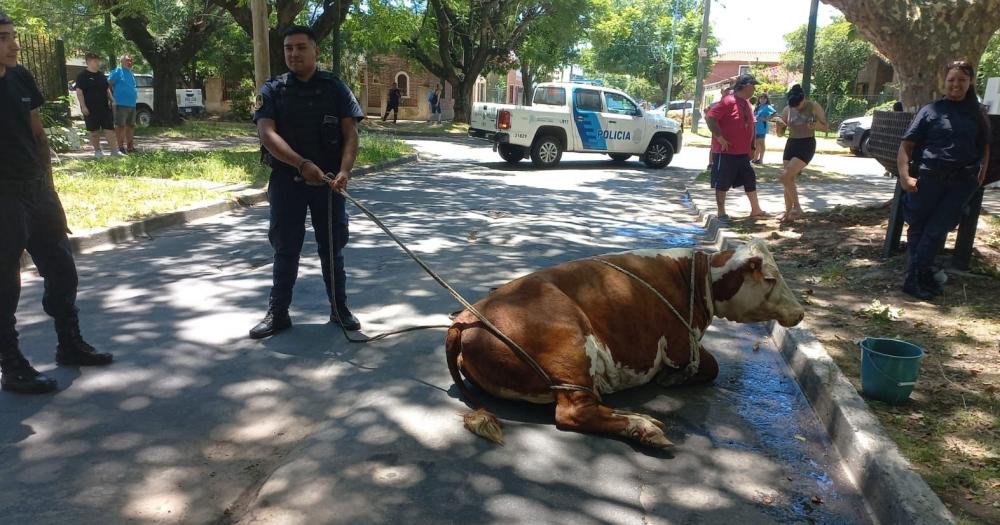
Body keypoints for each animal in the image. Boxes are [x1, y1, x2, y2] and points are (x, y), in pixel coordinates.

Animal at [446, 239, 804, 448]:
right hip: (570, 347)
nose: (800, 312)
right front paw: (673, 378)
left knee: (591, 403)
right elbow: (711, 365)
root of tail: (463, 319)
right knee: (573, 412)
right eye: (769, 278)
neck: (696, 277)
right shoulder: (679, 343)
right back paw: (643, 428)